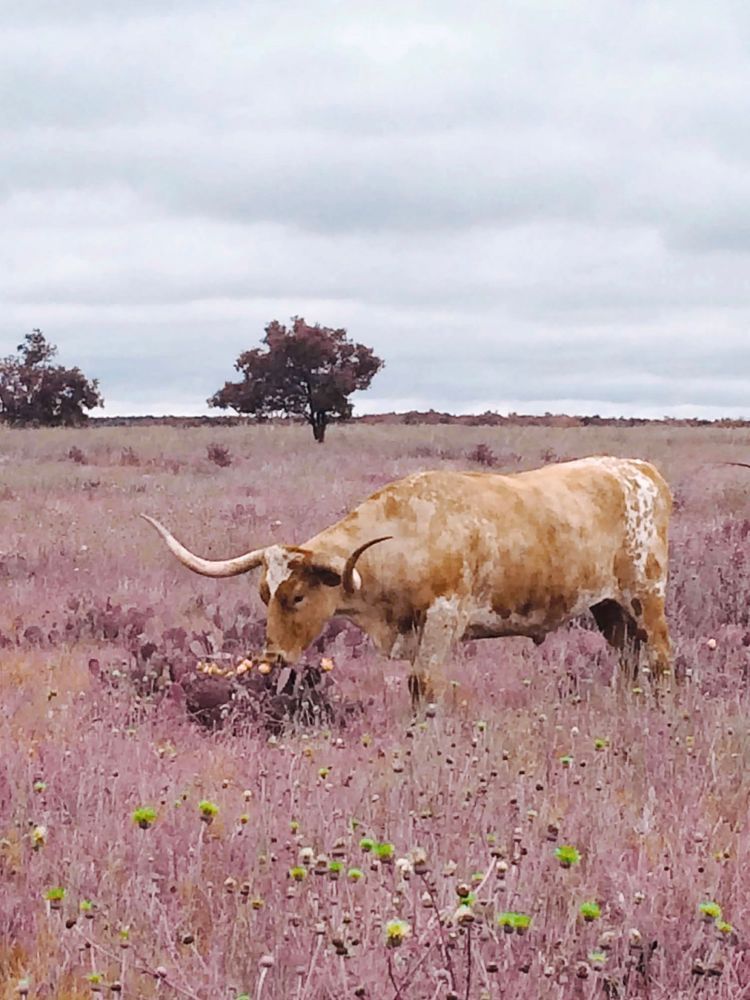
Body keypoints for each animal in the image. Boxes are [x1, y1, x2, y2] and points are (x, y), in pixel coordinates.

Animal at [142, 455, 673, 707]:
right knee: (629, 659)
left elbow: (424, 685)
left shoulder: (443, 621)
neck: (410, 533)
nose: (272, 659)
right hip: (608, 608)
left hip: (647, 596)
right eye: (263, 594)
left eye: (297, 595)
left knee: (662, 659)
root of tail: (641, 470)